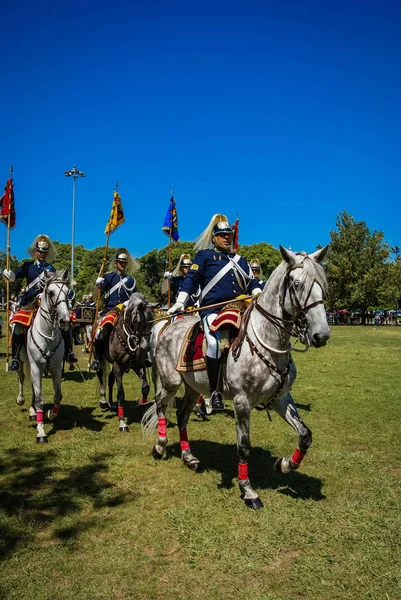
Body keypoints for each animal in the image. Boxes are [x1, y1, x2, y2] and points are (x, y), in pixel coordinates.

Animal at [16, 270, 70, 442]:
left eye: (67, 292)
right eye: (50, 292)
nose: (65, 320)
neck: (48, 336)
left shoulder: (55, 367)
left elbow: (58, 395)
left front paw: (50, 414)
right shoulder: (35, 366)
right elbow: (40, 398)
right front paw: (41, 432)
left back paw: (34, 412)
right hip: (23, 362)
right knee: (22, 378)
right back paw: (22, 401)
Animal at [94, 292, 154, 428]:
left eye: (152, 323)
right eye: (139, 321)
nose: (145, 348)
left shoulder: (138, 365)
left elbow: (145, 387)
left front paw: (142, 404)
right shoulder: (118, 367)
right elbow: (121, 394)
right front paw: (122, 421)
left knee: (110, 379)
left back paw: (111, 404)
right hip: (100, 358)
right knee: (100, 375)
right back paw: (103, 401)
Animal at [142, 246, 330, 508]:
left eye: (322, 283)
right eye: (297, 284)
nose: (321, 335)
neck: (269, 343)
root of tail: (167, 327)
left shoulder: (281, 398)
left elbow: (305, 435)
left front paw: (284, 464)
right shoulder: (242, 402)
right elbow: (243, 447)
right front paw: (248, 490)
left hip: (192, 387)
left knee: (182, 415)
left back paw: (189, 456)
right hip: (171, 382)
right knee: (160, 406)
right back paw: (160, 446)